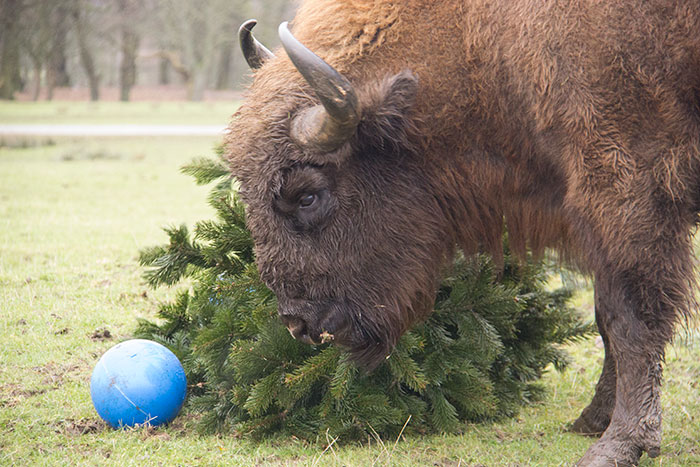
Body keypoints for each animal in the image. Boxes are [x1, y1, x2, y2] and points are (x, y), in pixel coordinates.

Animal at [226, 1, 700, 465]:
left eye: (306, 195)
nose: (298, 323)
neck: (480, 40)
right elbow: (606, 316)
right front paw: (593, 419)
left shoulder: (624, 188)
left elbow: (630, 318)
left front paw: (618, 444)